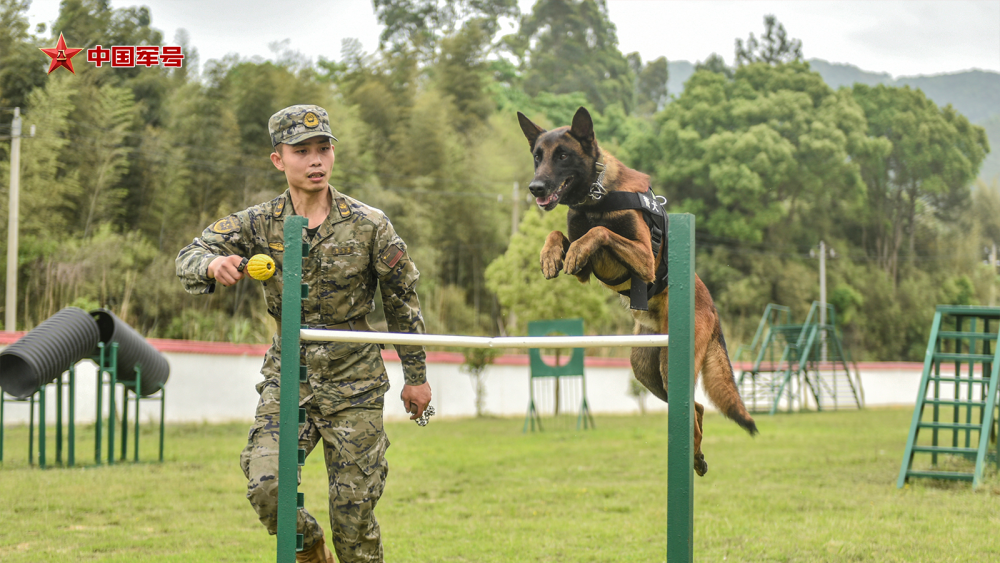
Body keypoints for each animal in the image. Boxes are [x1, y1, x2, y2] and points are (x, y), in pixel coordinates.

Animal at [516, 107, 756, 476]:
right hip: (647, 371)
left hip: (672, 366)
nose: (535, 187)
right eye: (537, 156)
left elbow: (599, 232)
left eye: (563, 155)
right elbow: (561, 234)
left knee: (693, 412)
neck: (596, 196)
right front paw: (550, 255)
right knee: (697, 407)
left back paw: (695, 457)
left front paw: (575, 246)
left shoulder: (643, 258)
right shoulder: (584, 273)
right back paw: (696, 456)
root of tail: (714, 311)